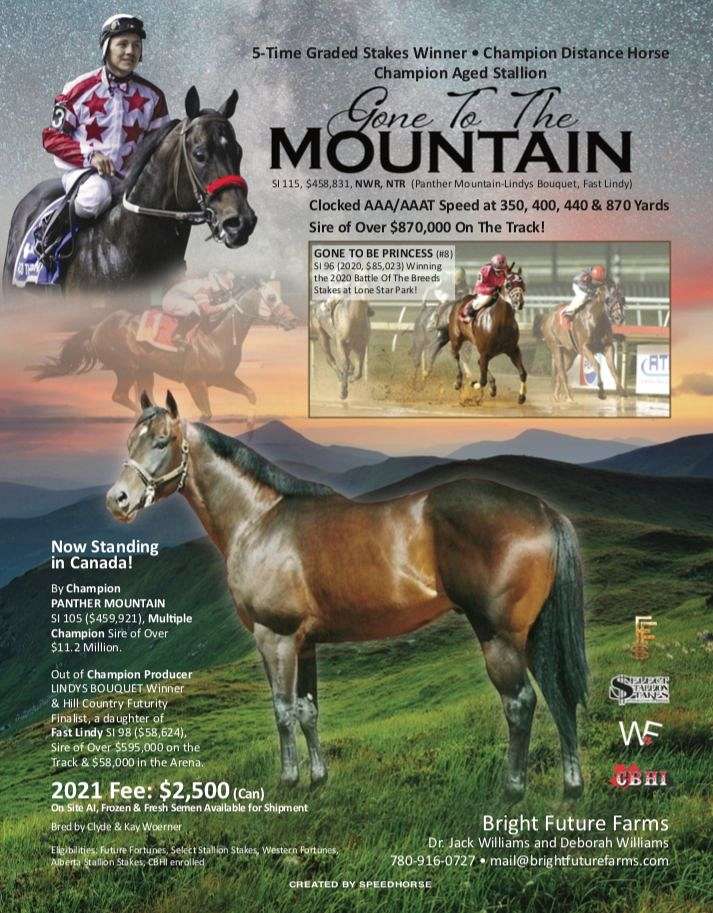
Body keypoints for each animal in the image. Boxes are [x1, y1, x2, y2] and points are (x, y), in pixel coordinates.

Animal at [31, 284, 298, 419]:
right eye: (271, 297)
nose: (293, 320)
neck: (216, 335)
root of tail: (98, 327)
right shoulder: (195, 382)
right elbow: (206, 414)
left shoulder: (222, 378)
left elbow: (251, 395)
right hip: (128, 368)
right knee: (121, 396)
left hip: (143, 371)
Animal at [106, 391, 588, 801]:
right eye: (130, 440)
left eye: (163, 441)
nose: (118, 500)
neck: (260, 520)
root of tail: (543, 510)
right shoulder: (304, 644)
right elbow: (308, 710)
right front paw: (318, 778)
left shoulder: (275, 637)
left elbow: (282, 710)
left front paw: (288, 781)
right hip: (534, 633)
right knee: (558, 693)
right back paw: (571, 786)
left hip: (499, 635)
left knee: (520, 703)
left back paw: (512, 789)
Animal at [448, 270, 528, 406]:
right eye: (508, 285)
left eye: (522, 283)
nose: (519, 302)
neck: (501, 322)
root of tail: (459, 301)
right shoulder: (484, 352)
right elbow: (482, 380)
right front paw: (473, 384)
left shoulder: (513, 350)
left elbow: (523, 373)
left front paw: (521, 397)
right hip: (456, 339)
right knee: (456, 356)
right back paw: (458, 382)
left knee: (479, 363)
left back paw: (492, 387)